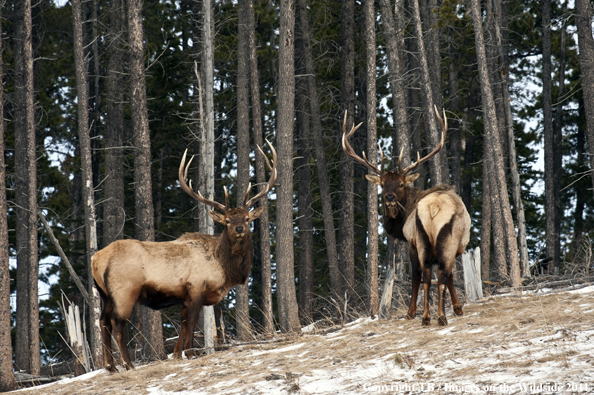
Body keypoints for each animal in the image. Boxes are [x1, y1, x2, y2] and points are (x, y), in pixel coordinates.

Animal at [91, 143, 276, 374]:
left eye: (248, 218)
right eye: (226, 220)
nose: (240, 228)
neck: (225, 269)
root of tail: (96, 260)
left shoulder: (184, 295)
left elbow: (183, 323)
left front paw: (177, 354)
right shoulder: (196, 287)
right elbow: (192, 322)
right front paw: (190, 352)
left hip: (104, 293)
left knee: (103, 322)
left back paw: (110, 366)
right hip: (124, 290)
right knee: (117, 323)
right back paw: (128, 363)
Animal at [340, 110, 470, 326]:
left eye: (401, 184)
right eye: (382, 184)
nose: (389, 197)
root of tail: (434, 207)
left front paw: (456, 308)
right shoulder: (420, 243)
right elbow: (444, 276)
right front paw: (456, 308)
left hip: (426, 242)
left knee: (428, 275)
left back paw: (428, 317)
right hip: (438, 241)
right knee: (435, 275)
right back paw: (435, 316)